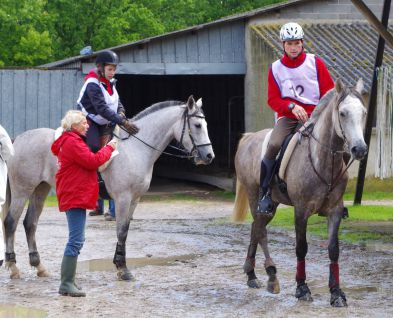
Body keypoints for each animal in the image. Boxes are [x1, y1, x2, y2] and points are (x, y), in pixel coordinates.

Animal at [3, 95, 214, 280]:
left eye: (205, 125)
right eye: (197, 126)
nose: (209, 156)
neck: (136, 149)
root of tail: (17, 140)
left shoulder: (134, 200)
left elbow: (125, 231)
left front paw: (120, 265)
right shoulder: (122, 198)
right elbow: (120, 231)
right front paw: (123, 269)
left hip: (41, 189)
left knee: (30, 223)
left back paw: (39, 267)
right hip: (23, 190)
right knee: (11, 223)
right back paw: (13, 268)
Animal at [231, 78, 366, 306]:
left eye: (364, 112)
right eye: (342, 113)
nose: (360, 149)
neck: (323, 161)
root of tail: (248, 138)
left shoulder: (335, 211)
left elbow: (333, 249)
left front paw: (336, 293)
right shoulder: (301, 211)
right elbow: (301, 247)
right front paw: (302, 289)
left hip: (273, 203)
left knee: (255, 228)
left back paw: (253, 275)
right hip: (254, 195)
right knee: (260, 230)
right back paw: (270, 275)